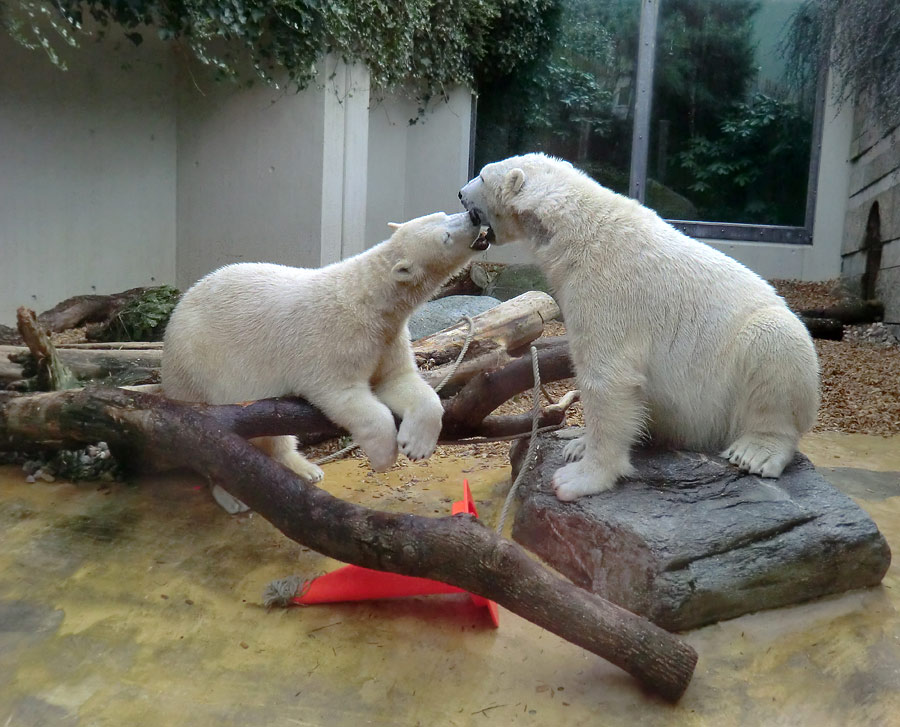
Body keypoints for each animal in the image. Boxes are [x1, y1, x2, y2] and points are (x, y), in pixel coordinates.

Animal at [162, 210, 486, 506]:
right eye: (445, 237)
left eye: (444, 213)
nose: (473, 214)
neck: (369, 299)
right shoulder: (334, 339)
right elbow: (343, 393)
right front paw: (384, 456)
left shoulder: (387, 338)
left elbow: (399, 380)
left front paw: (416, 444)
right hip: (198, 365)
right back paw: (231, 494)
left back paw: (305, 468)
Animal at [460, 155, 820, 500]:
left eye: (482, 175)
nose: (461, 193)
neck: (576, 229)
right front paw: (578, 444)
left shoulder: (609, 290)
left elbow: (608, 378)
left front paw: (578, 478)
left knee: (774, 347)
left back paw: (756, 451)